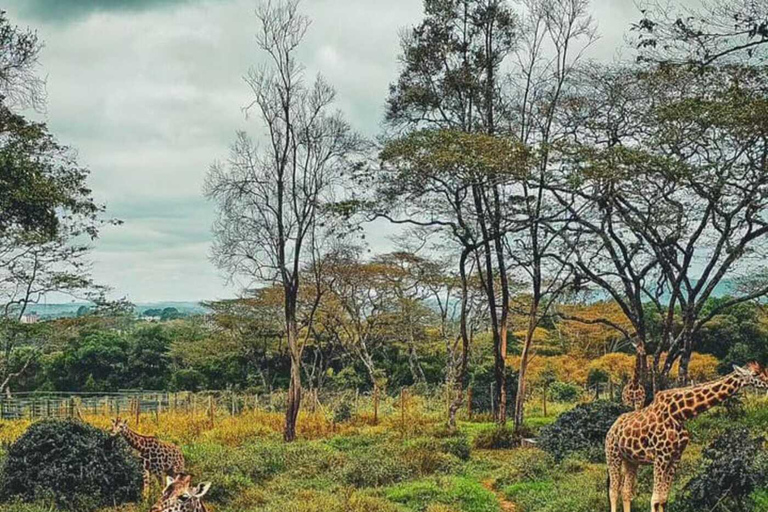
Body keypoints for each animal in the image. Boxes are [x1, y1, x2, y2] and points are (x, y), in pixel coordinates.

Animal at [608, 362, 768, 512]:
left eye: (764, 370)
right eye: (755, 374)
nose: (767, 383)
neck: (680, 414)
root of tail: (613, 427)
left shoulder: (675, 457)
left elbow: (663, 499)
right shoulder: (660, 456)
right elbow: (655, 499)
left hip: (631, 460)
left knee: (626, 491)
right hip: (613, 454)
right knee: (613, 491)